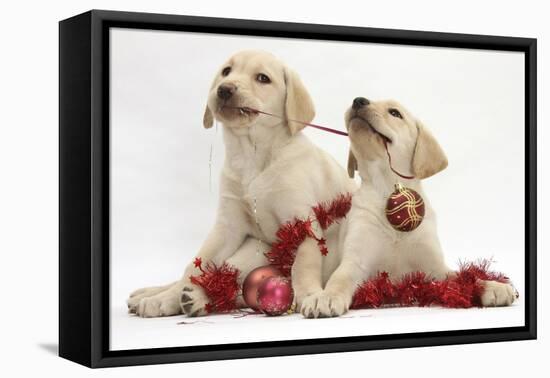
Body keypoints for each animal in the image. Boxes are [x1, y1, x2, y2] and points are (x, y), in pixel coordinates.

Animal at [127, 50, 356, 316]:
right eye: (226, 72)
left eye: (263, 78)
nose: (225, 89)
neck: (252, 155)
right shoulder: (227, 226)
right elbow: (195, 265)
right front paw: (167, 297)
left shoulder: (303, 222)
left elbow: (303, 264)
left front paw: (311, 295)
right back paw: (160, 296)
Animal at [300, 96, 520, 318]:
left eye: (395, 113)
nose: (358, 100)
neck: (388, 185)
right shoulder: (355, 261)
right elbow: (339, 279)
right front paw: (325, 297)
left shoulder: (435, 268)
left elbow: (464, 277)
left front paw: (491, 286)